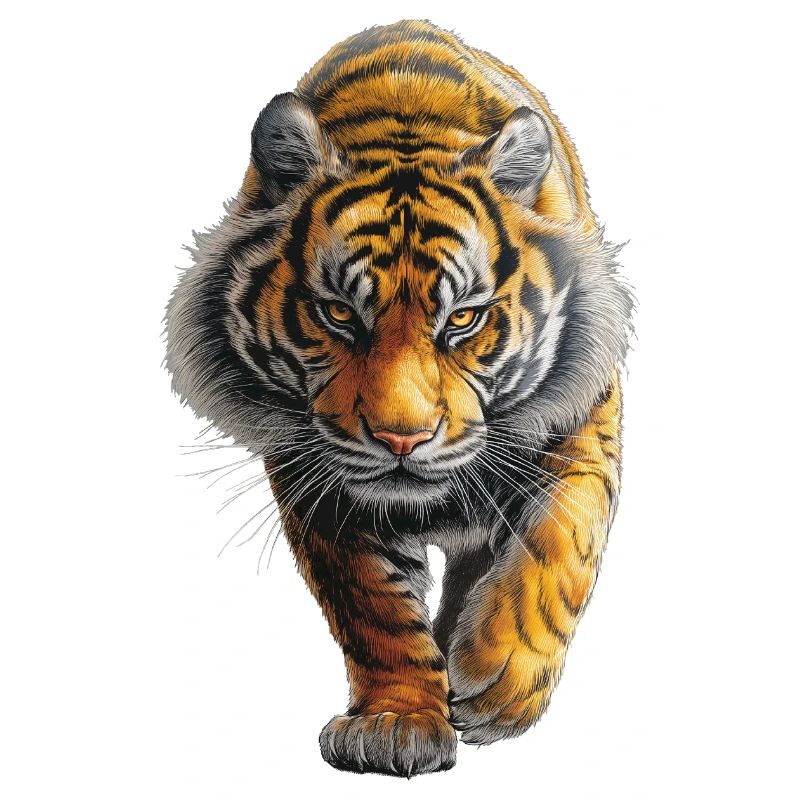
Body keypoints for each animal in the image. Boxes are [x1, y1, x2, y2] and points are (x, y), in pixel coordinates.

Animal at [165, 19, 633, 776]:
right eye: (338, 315)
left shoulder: (584, 423)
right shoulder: (313, 471)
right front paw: (396, 721)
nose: (401, 439)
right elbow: (374, 607)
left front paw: (500, 681)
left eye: (463, 319)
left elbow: (560, 543)